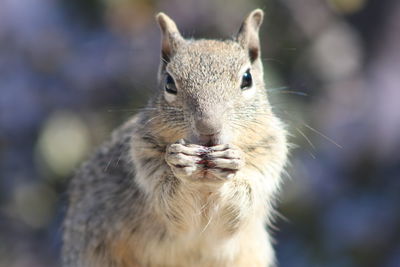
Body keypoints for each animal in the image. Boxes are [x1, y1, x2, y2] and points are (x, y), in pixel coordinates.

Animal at [61, 9, 288, 267]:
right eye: (169, 83)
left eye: (247, 79)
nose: (208, 127)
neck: (205, 180)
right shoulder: (146, 164)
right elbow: (175, 209)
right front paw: (183, 163)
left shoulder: (266, 164)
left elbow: (236, 210)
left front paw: (230, 162)